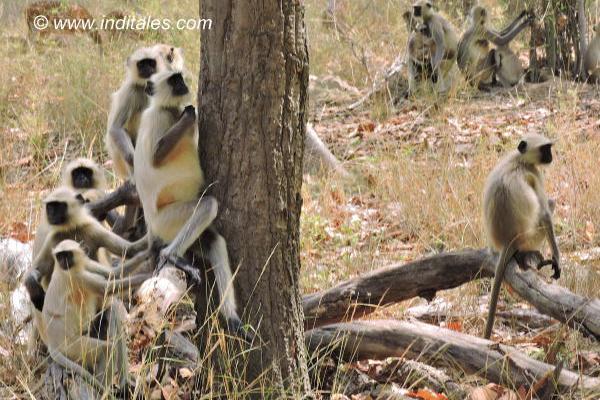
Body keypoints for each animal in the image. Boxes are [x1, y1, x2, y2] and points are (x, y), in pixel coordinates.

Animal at [41, 241, 151, 390]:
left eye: (67, 255)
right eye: (60, 257)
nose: (63, 262)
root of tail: (52, 343)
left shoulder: (84, 263)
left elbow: (112, 273)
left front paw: (148, 250)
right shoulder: (75, 277)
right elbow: (106, 288)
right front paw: (145, 275)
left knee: (112, 312)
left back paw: (125, 381)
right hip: (72, 346)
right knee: (106, 348)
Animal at [135, 70, 246, 336]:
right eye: (174, 81)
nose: (184, 85)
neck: (167, 109)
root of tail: (152, 227)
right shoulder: (159, 116)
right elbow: (157, 156)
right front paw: (189, 113)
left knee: (214, 240)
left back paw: (231, 318)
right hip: (168, 219)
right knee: (208, 206)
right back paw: (171, 255)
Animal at [480, 134, 560, 338]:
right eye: (545, 148)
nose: (551, 156)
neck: (519, 160)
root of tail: (508, 241)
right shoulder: (535, 173)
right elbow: (545, 214)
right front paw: (557, 260)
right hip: (531, 237)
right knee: (549, 204)